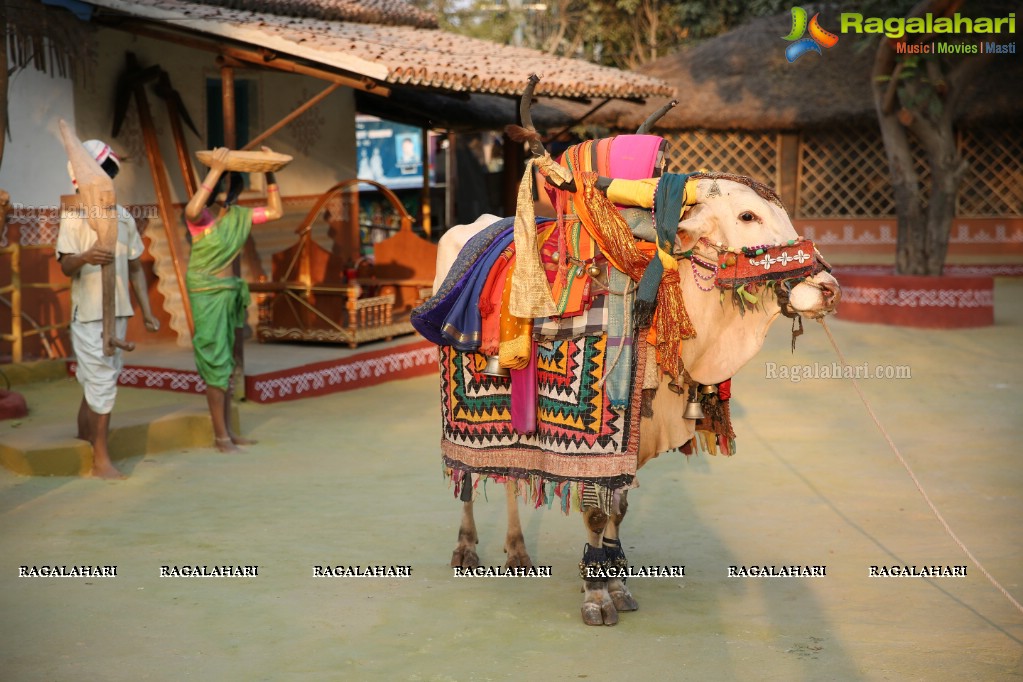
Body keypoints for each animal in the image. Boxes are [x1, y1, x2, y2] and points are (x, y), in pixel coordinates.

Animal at [411, 76, 842, 629]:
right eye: (748, 215)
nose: (826, 288)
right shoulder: (597, 441)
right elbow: (596, 510)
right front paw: (596, 597)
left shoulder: (637, 436)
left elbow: (617, 511)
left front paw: (615, 584)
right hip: (457, 407)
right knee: (466, 474)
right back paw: (467, 546)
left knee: (509, 474)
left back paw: (517, 548)